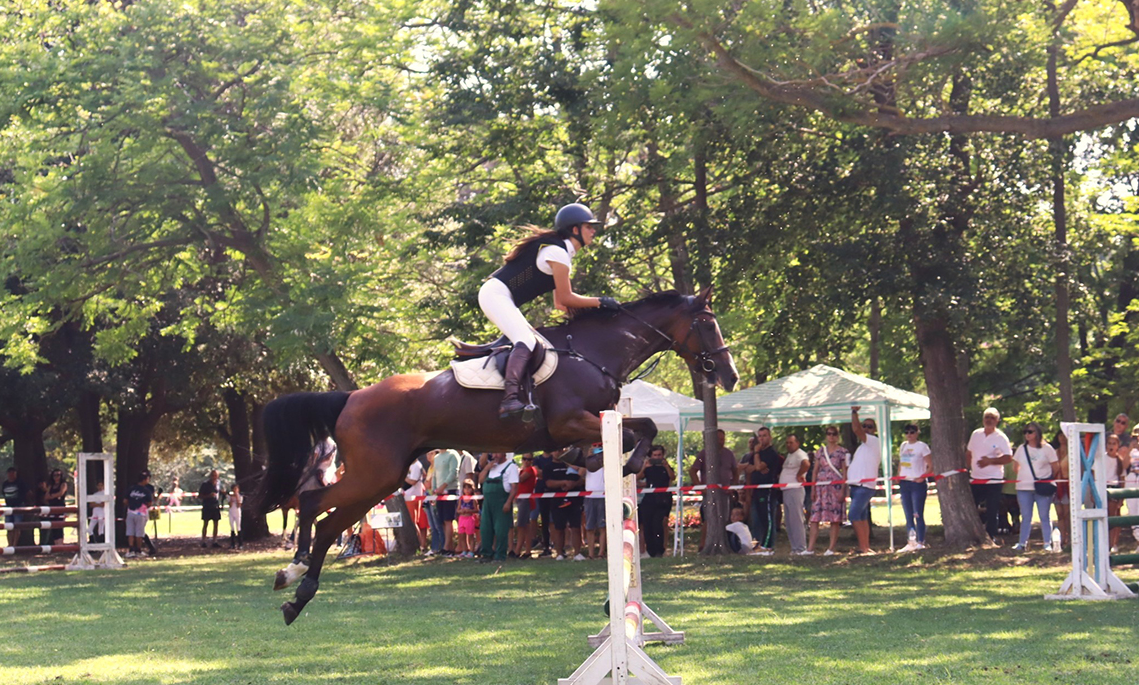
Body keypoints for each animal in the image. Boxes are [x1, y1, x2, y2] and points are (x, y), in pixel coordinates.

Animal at [258, 286, 738, 624]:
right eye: (707, 323)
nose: (730, 375)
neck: (594, 352)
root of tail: (351, 397)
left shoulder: (587, 422)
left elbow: (626, 436)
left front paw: (597, 462)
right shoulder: (571, 420)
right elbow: (644, 428)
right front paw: (632, 463)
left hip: (384, 478)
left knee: (328, 523)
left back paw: (298, 595)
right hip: (374, 474)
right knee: (313, 503)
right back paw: (293, 570)